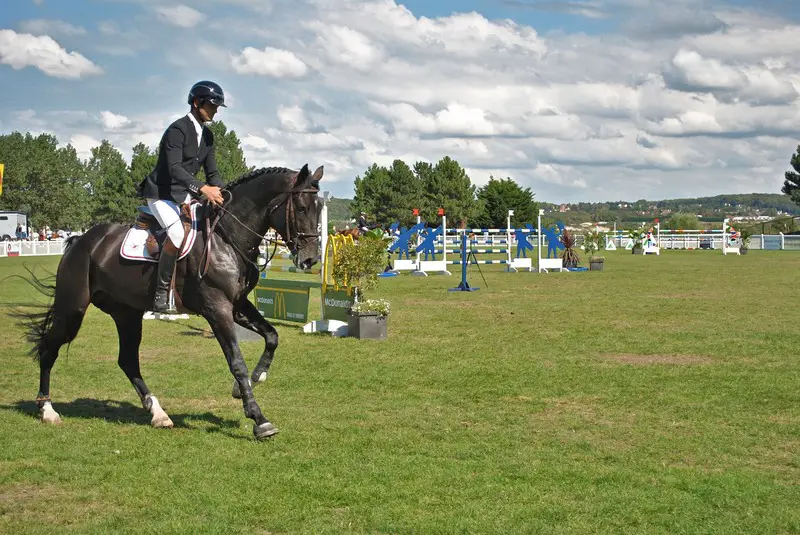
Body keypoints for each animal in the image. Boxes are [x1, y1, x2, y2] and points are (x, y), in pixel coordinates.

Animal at [25, 164, 324, 440]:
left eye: (319, 208)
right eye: (300, 208)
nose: (310, 260)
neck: (226, 237)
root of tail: (80, 240)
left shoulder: (238, 305)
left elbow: (272, 336)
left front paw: (252, 380)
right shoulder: (217, 309)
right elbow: (236, 361)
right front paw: (259, 419)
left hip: (127, 313)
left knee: (128, 361)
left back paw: (158, 413)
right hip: (72, 310)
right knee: (49, 350)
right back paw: (48, 410)